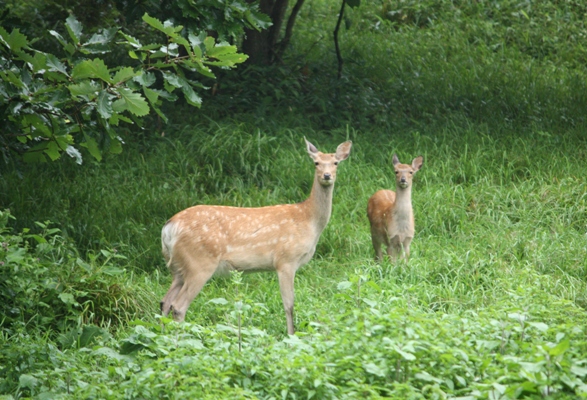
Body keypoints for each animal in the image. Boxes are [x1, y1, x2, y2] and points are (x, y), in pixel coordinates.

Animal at [161, 138, 352, 334]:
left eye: (335, 163)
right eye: (316, 163)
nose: (327, 176)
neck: (309, 220)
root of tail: (169, 226)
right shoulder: (286, 260)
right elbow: (289, 305)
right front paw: (291, 335)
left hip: (178, 266)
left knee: (165, 302)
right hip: (199, 262)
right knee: (178, 305)